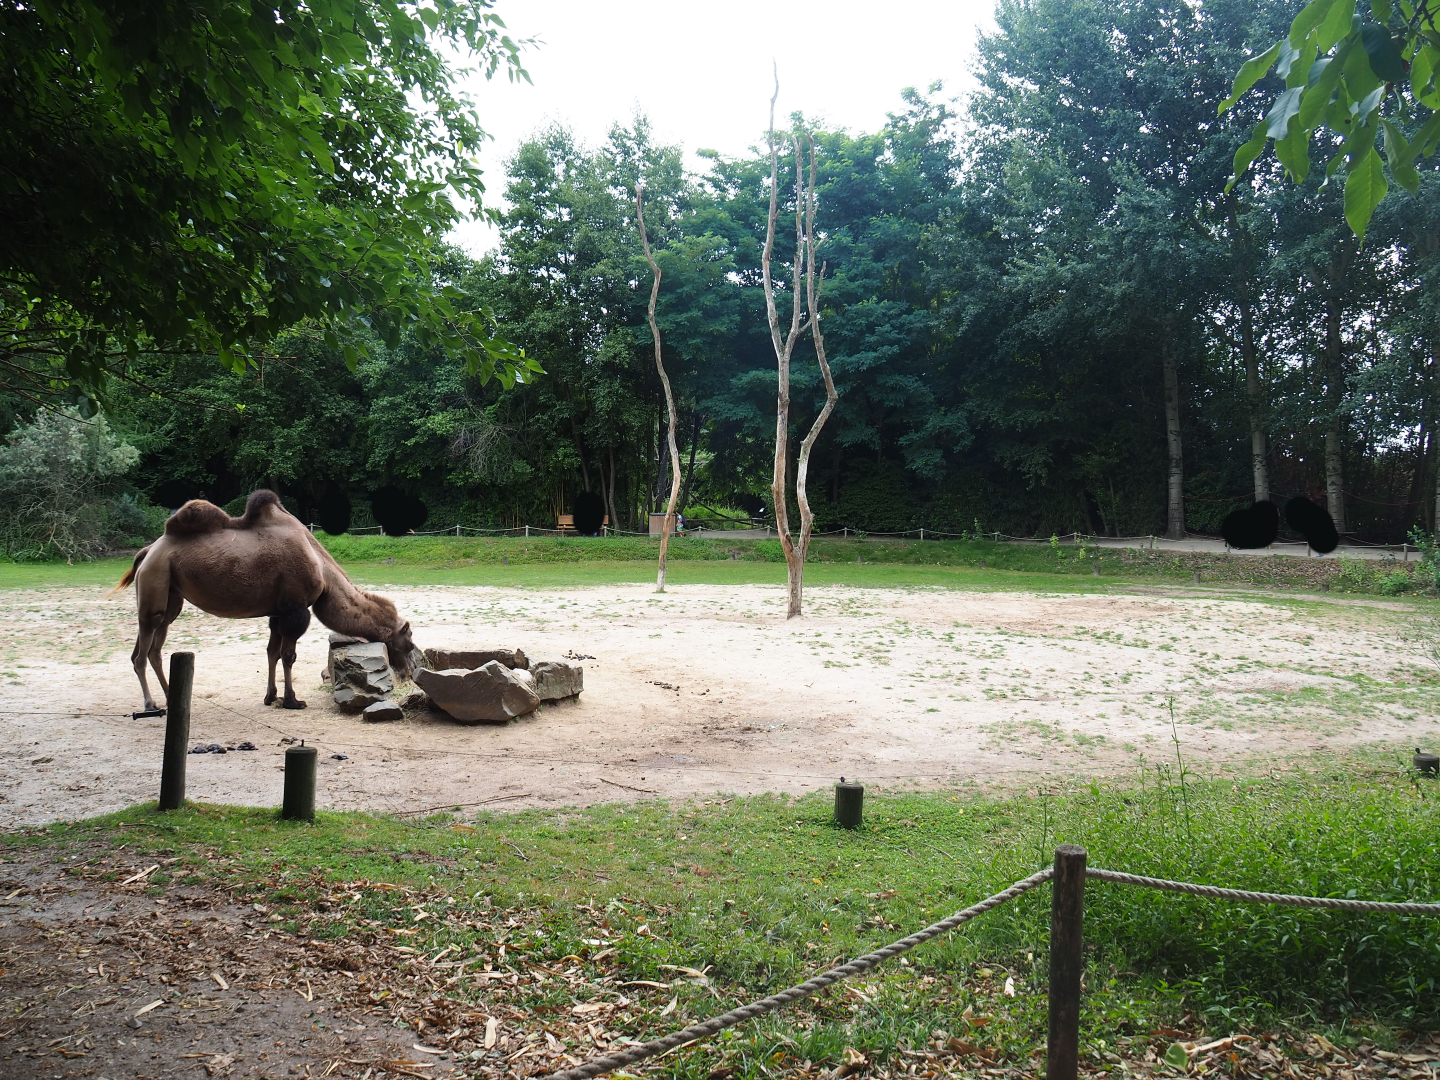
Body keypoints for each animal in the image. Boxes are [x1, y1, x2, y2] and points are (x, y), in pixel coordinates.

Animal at [116, 490, 415, 710]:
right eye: (409, 643)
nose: (408, 673)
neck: (322, 570)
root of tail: (147, 551)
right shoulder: (296, 609)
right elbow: (288, 655)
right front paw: (293, 700)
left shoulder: (277, 611)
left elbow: (272, 652)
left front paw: (271, 697)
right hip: (155, 583)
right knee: (141, 652)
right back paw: (151, 704)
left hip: (171, 595)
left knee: (153, 647)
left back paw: (170, 697)